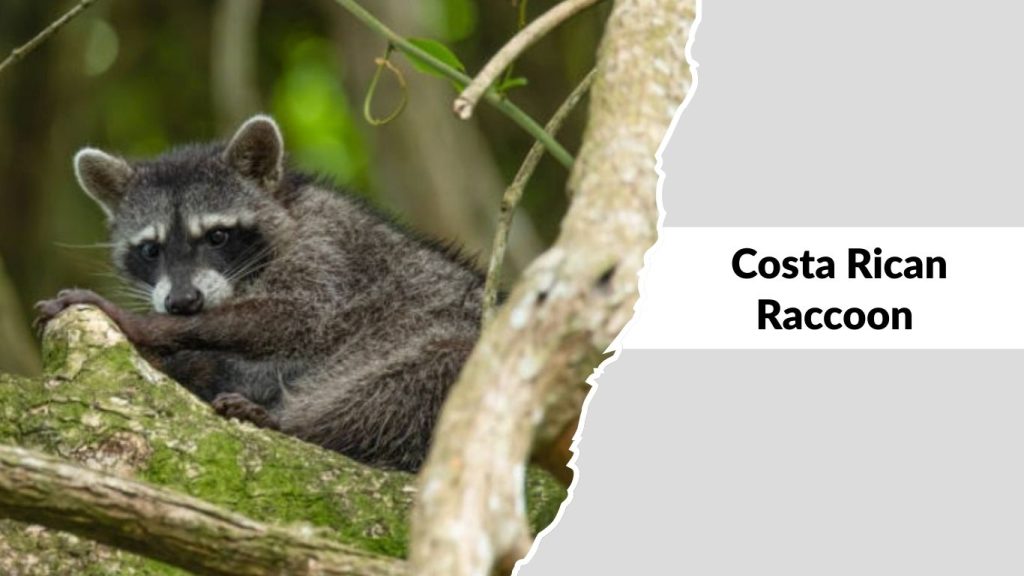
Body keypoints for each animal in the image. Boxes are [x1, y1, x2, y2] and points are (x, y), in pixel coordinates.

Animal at [35, 115, 484, 472]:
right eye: (151, 249)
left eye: (217, 236)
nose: (181, 303)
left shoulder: (327, 251)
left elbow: (297, 318)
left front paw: (142, 326)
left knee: (426, 371)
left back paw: (293, 425)